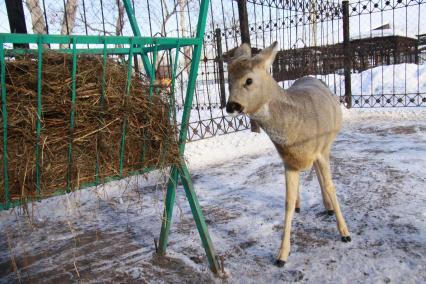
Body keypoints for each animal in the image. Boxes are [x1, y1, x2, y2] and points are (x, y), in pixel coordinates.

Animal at [225, 41, 352, 266]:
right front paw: (282, 255)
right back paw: (308, 205)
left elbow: (331, 186)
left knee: (320, 175)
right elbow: (288, 202)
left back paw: (328, 208)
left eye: (248, 80)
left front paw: (345, 233)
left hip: (328, 145)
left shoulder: (321, 151)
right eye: (228, 80)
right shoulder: (288, 161)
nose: (231, 106)